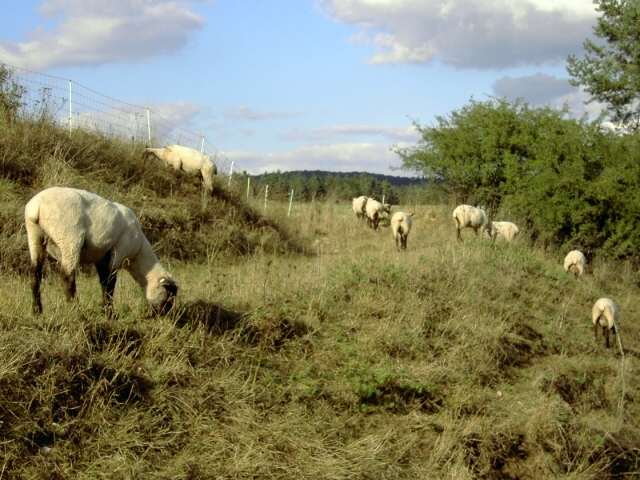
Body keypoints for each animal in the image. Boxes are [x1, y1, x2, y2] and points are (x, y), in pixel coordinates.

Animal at [25, 188, 178, 318]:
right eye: (168, 295)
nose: (163, 315)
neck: (138, 253)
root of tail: (36, 206)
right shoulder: (118, 252)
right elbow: (109, 284)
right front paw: (110, 314)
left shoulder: (102, 258)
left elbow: (104, 282)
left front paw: (106, 311)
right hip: (69, 238)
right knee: (67, 277)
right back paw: (77, 312)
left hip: (35, 236)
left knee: (35, 275)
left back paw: (37, 311)